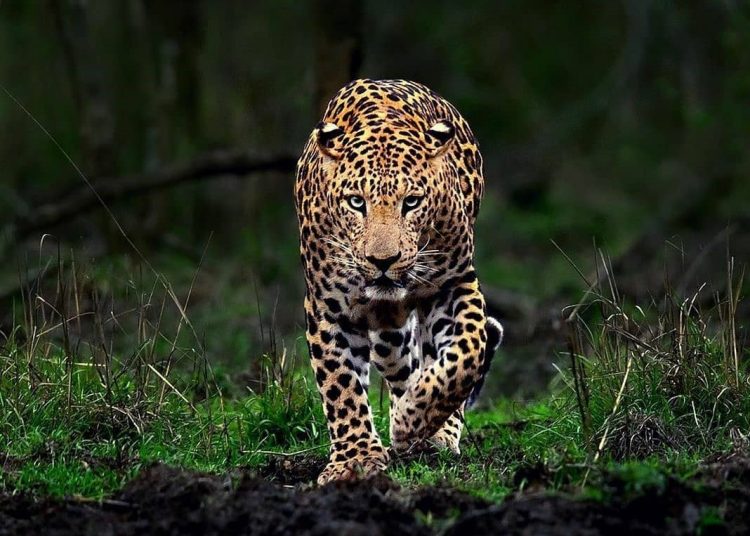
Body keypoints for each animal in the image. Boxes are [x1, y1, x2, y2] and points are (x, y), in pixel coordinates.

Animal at [294, 79, 504, 485]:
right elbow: (340, 385)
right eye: (356, 202)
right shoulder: (328, 306)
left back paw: (432, 431)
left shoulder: (454, 283)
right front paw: (355, 460)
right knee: (401, 365)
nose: (383, 261)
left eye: (412, 202)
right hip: (388, 334)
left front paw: (413, 421)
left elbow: (467, 353)